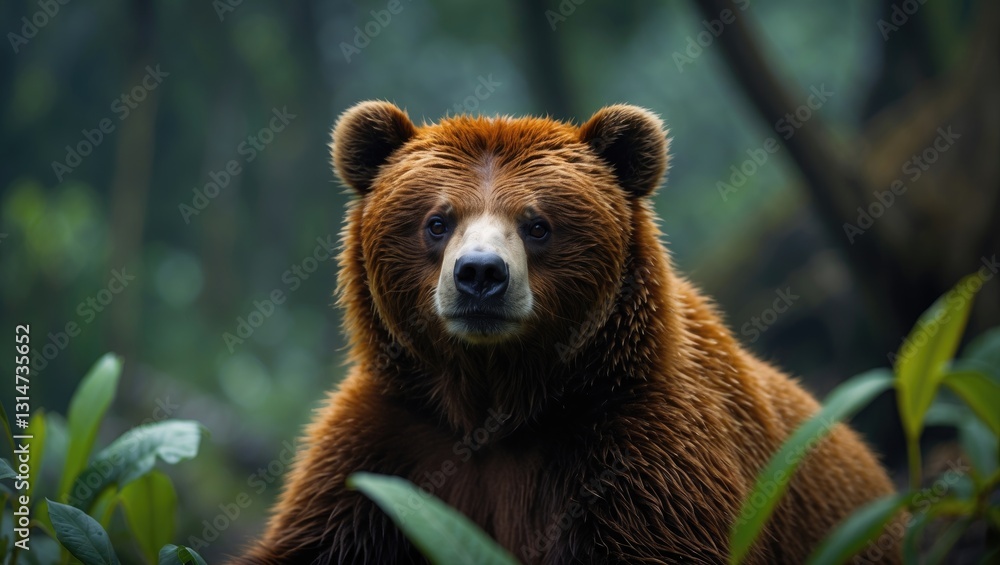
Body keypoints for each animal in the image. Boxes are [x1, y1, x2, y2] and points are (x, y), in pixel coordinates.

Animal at [234, 101, 900, 564]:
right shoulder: (388, 444)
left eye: (537, 224)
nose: (480, 275)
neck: (499, 402)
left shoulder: (642, 450)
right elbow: (313, 537)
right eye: (436, 220)